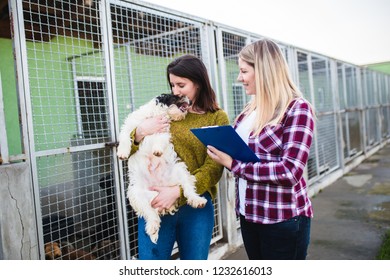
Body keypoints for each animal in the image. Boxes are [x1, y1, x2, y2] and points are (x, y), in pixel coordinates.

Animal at [116, 93, 207, 243]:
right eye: (179, 95)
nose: (191, 101)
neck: (155, 114)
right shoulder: (130, 125)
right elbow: (125, 137)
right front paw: (122, 153)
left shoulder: (163, 131)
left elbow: (160, 139)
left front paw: (157, 150)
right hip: (136, 193)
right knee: (150, 212)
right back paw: (152, 227)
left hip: (179, 170)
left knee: (188, 189)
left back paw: (198, 201)